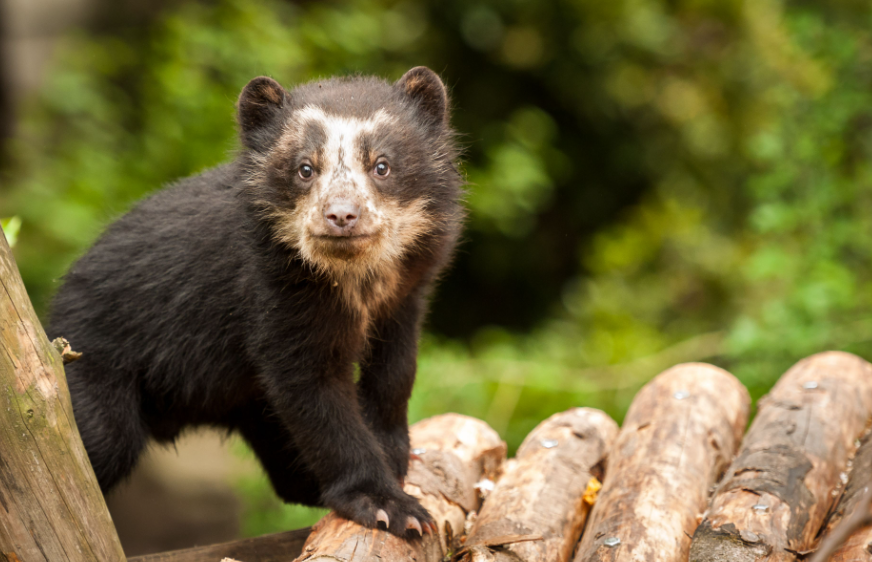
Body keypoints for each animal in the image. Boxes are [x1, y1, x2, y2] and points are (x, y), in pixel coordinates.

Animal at [47, 66, 464, 538]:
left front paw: (398, 456)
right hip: (96, 360)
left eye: (382, 165)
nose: (341, 215)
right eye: (305, 168)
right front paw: (389, 506)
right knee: (101, 439)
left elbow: (396, 370)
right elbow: (314, 391)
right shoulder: (273, 294)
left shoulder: (406, 293)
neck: (352, 279)